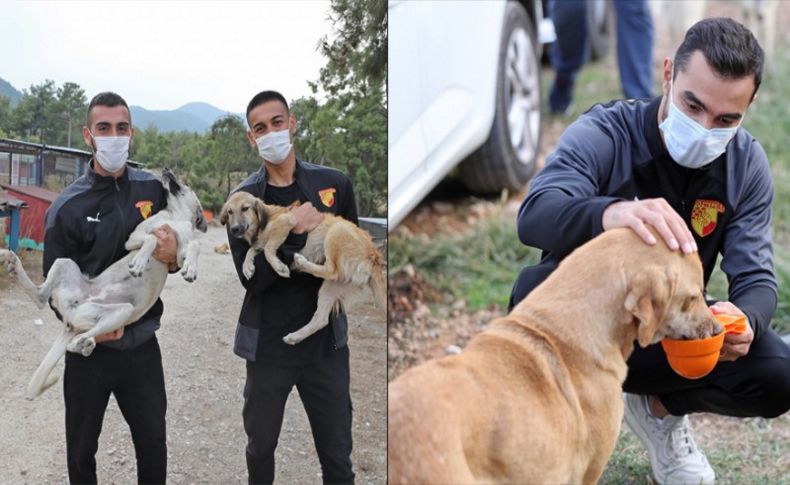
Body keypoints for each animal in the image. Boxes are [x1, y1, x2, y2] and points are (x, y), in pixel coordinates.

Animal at [0, 169, 207, 398]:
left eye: (186, 184)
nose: (166, 170)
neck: (174, 217)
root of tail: (70, 320)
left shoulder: (176, 253)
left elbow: (194, 244)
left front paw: (191, 268)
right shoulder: (134, 237)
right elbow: (152, 239)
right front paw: (140, 262)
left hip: (118, 311)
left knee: (71, 332)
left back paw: (85, 344)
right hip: (67, 264)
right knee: (41, 298)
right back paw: (12, 261)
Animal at [221, 189, 386, 344]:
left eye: (245, 208)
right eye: (230, 212)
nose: (234, 229)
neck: (261, 224)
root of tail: (374, 255)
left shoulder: (286, 222)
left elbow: (267, 250)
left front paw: (279, 267)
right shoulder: (260, 242)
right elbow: (252, 250)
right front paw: (247, 268)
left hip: (336, 232)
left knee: (332, 270)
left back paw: (301, 262)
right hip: (331, 287)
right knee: (321, 319)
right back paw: (294, 336)